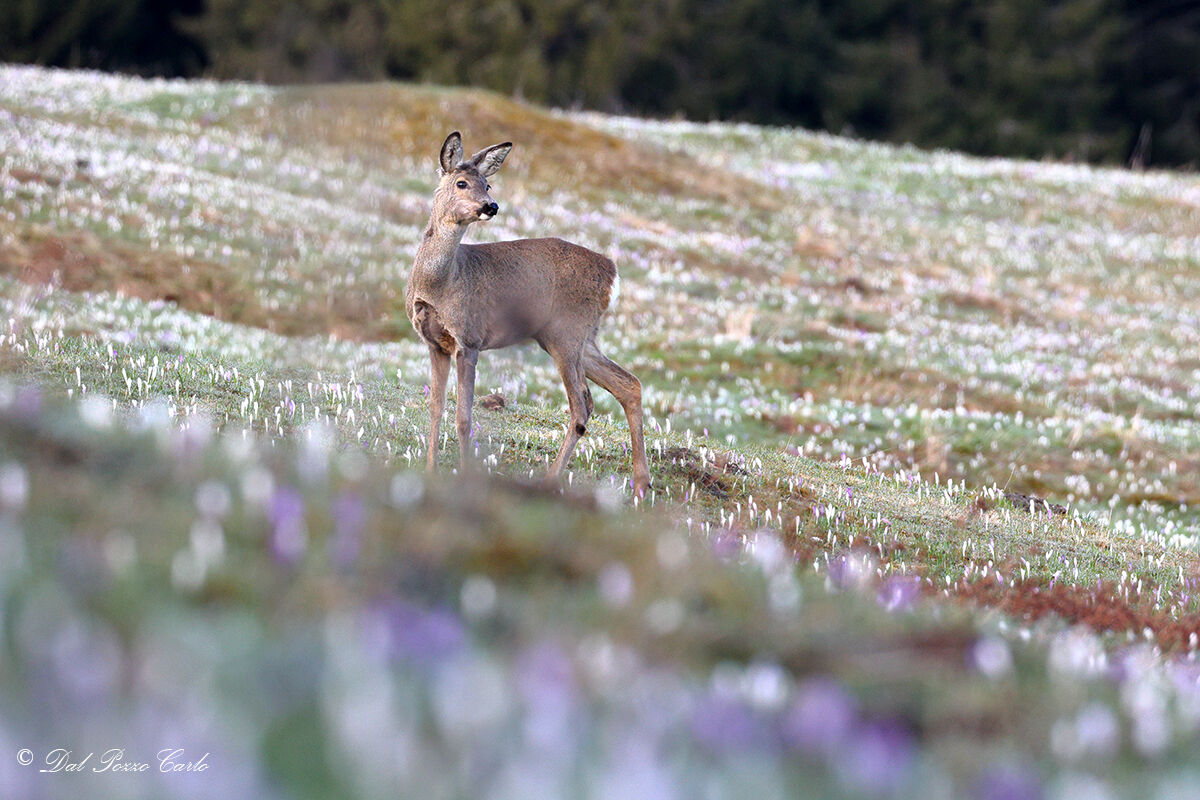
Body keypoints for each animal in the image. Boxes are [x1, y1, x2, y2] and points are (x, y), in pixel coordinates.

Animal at [406, 131, 651, 497]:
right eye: (462, 182)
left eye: (488, 185)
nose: (490, 206)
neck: (439, 281)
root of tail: (612, 270)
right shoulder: (435, 343)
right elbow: (435, 408)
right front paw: (430, 473)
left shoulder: (469, 338)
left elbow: (463, 417)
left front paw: (464, 477)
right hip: (574, 337)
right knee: (627, 384)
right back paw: (640, 486)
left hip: (567, 331)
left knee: (582, 407)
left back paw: (551, 482)